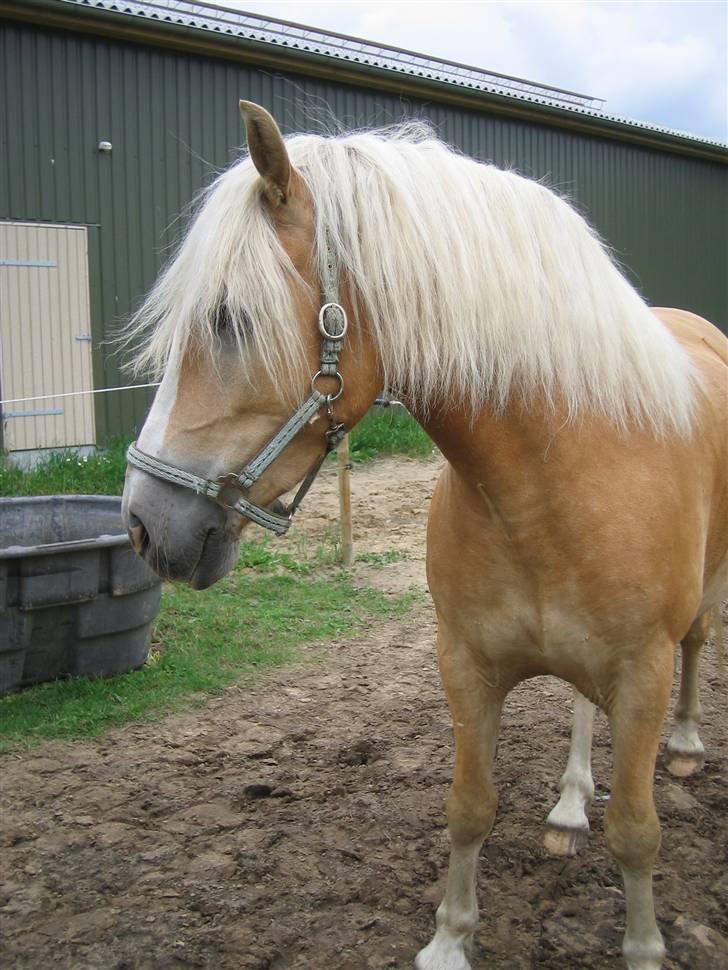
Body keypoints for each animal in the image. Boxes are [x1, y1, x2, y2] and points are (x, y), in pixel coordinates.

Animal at [122, 104, 724, 968]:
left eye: (228, 319)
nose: (142, 524)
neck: (549, 486)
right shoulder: (464, 664)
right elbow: (469, 805)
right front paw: (449, 939)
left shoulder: (642, 673)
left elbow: (637, 835)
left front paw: (643, 946)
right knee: (582, 710)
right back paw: (569, 805)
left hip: (699, 605)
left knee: (700, 645)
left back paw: (686, 745)